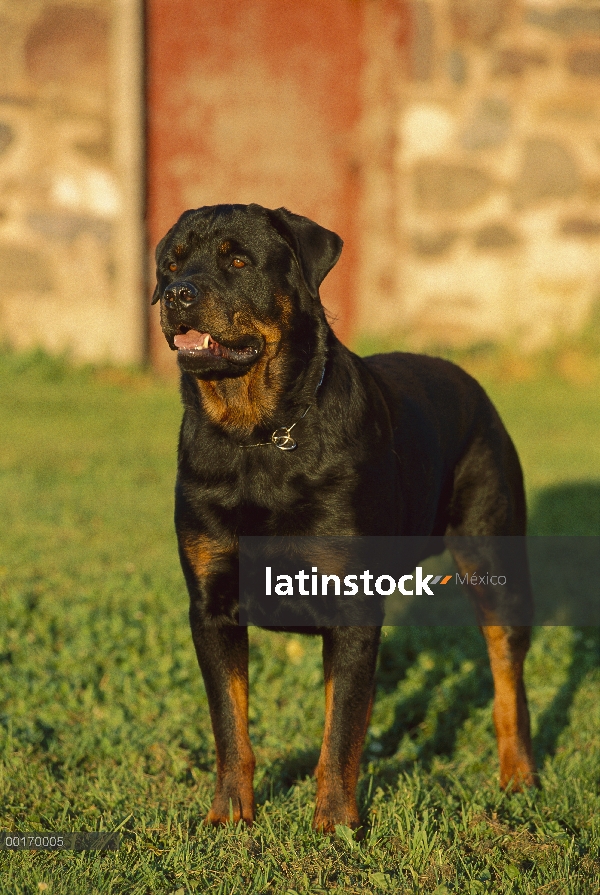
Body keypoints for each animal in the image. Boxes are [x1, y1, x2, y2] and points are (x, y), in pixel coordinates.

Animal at [152, 203, 536, 832]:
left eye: (238, 260)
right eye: (172, 263)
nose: (178, 293)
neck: (258, 435)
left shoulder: (351, 606)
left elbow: (342, 730)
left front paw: (335, 825)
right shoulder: (211, 606)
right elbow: (231, 726)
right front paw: (229, 818)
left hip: (492, 550)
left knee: (506, 668)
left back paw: (518, 773)